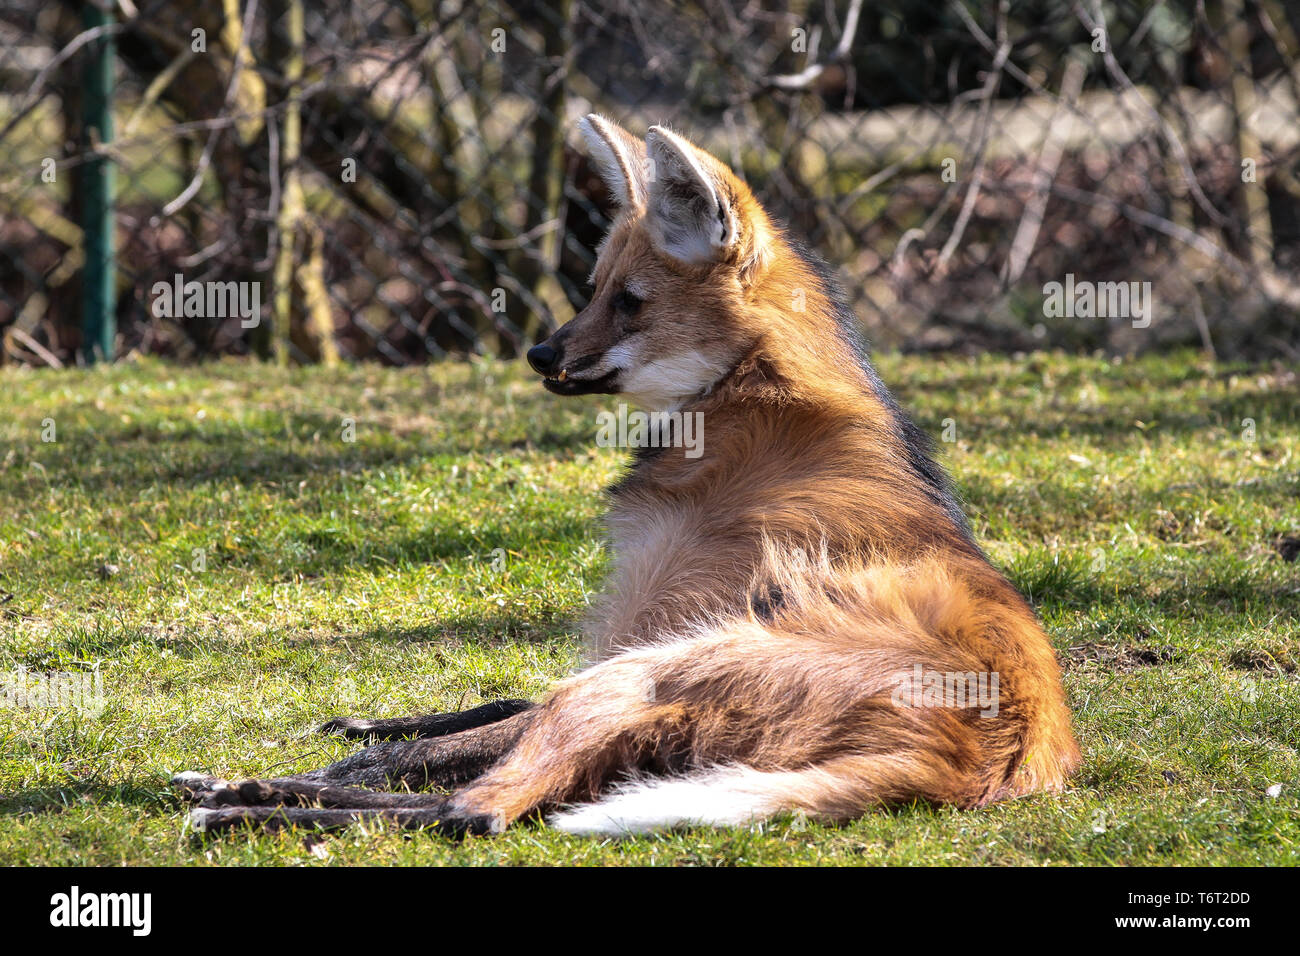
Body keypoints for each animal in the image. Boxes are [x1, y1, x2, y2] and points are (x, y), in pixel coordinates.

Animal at [178, 113, 1081, 837]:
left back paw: (233, 801)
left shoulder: (644, 640)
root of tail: (984, 753)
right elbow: (491, 708)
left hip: (661, 669)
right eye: (595, 287)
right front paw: (366, 723)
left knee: (478, 812)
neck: (743, 399)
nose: (539, 352)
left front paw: (307, 767)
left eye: (631, 302)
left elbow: (453, 747)